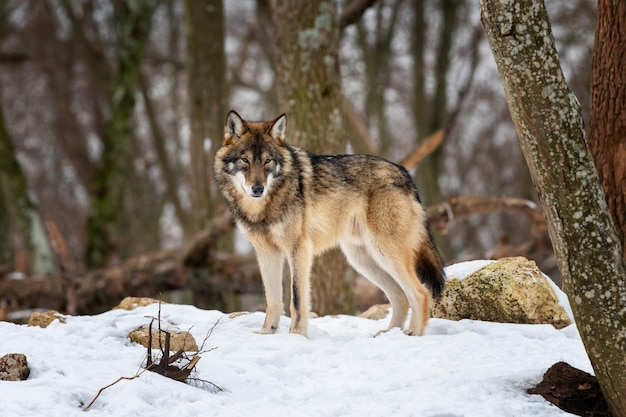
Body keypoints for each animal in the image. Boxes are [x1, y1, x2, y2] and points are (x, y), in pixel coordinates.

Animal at [213, 109, 444, 334]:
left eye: (267, 161)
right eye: (245, 160)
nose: (258, 189)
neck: (262, 207)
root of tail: (406, 174)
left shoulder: (299, 249)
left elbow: (297, 300)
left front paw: (296, 336)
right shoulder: (266, 252)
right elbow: (272, 300)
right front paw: (267, 333)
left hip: (384, 252)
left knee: (420, 293)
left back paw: (413, 334)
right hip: (363, 259)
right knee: (400, 296)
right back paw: (388, 334)